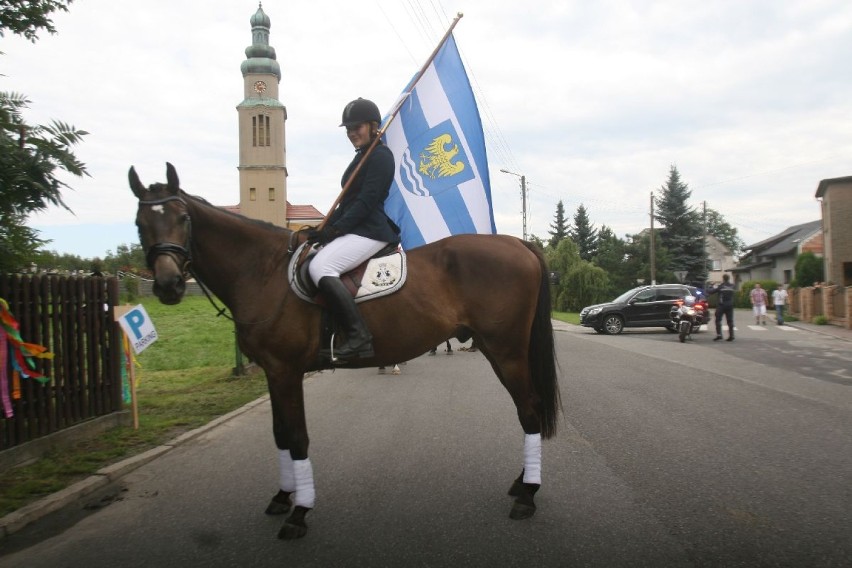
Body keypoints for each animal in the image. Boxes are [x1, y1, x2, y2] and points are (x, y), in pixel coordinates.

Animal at [130, 162, 564, 540]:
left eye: (183, 219)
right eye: (139, 223)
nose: (168, 285)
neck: (264, 271)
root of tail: (517, 243)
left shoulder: (287, 370)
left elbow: (297, 437)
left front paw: (299, 512)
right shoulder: (273, 371)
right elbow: (280, 435)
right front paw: (282, 497)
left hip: (507, 351)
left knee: (529, 410)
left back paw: (527, 495)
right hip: (496, 349)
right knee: (527, 410)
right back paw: (521, 484)